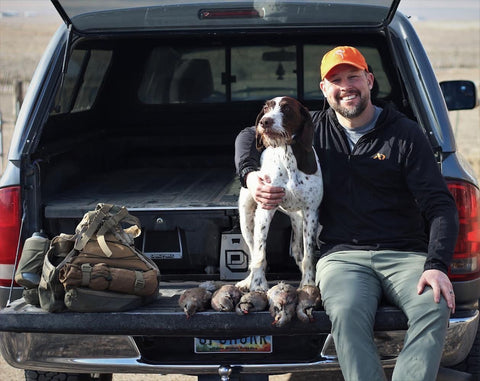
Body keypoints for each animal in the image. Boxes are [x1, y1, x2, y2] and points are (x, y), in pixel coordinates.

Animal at [236, 95, 322, 290]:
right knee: (253, 252)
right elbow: (260, 255)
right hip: (246, 217)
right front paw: (258, 285)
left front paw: (308, 283)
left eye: (287, 109)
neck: (287, 153)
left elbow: (309, 255)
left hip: (298, 219)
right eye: (266, 108)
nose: (264, 121)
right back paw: (247, 280)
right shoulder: (265, 210)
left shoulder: (311, 212)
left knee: (297, 251)